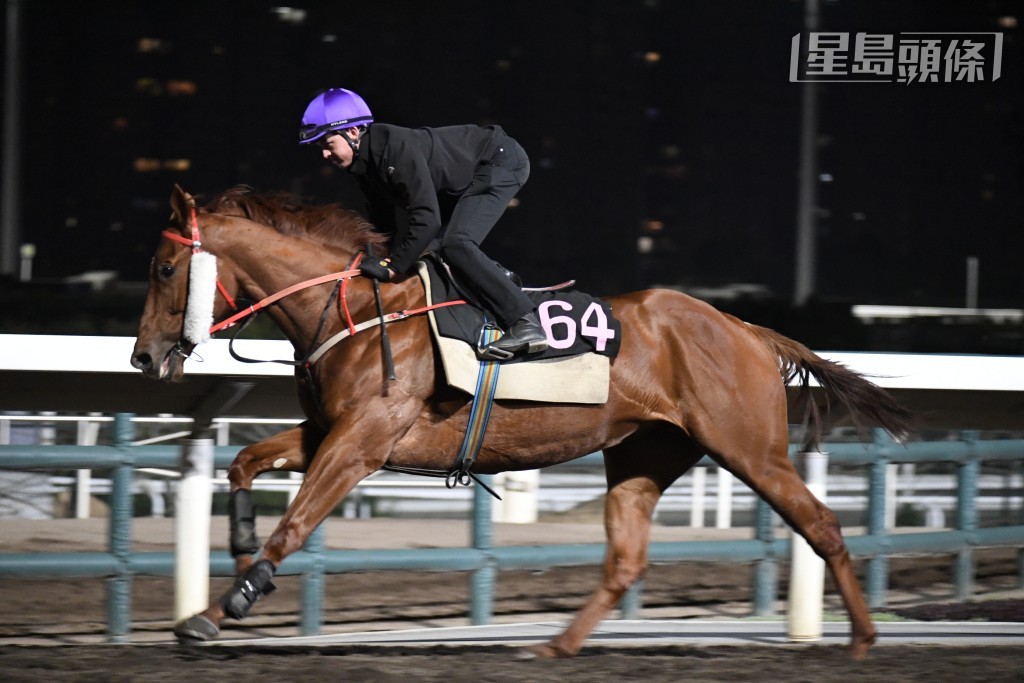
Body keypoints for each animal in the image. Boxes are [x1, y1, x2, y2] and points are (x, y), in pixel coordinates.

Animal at [132, 185, 909, 655]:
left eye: (165, 267)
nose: (143, 356)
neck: (358, 313)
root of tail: (746, 328)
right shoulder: (329, 431)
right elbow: (245, 462)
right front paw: (237, 549)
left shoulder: (362, 443)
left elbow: (294, 523)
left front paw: (218, 609)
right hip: (645, 454)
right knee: (626, 559)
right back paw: (556, 645)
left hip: (750, 446)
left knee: (822, 525)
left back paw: (863, 640)